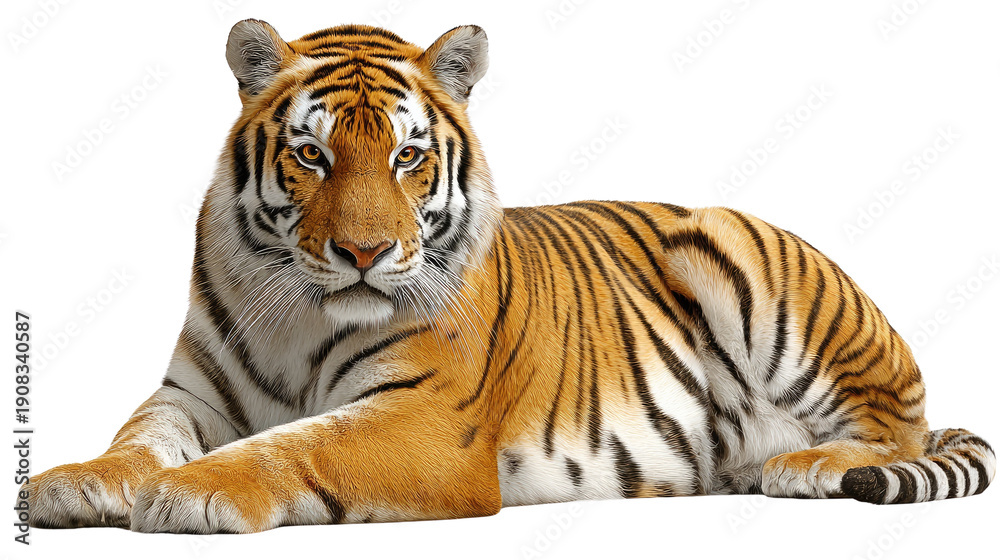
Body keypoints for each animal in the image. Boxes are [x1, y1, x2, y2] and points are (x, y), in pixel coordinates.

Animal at [21, 20, 994, 533]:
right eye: (312, 155)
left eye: (409, 158)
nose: (364, 254)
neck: (301, 311)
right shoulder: (191, 392)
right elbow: (139, 435)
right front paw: (76, 480)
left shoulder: (424, 419)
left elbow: (295, 443)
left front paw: (189, 492)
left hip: (727, 243)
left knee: (896, 434)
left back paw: (805, 465)